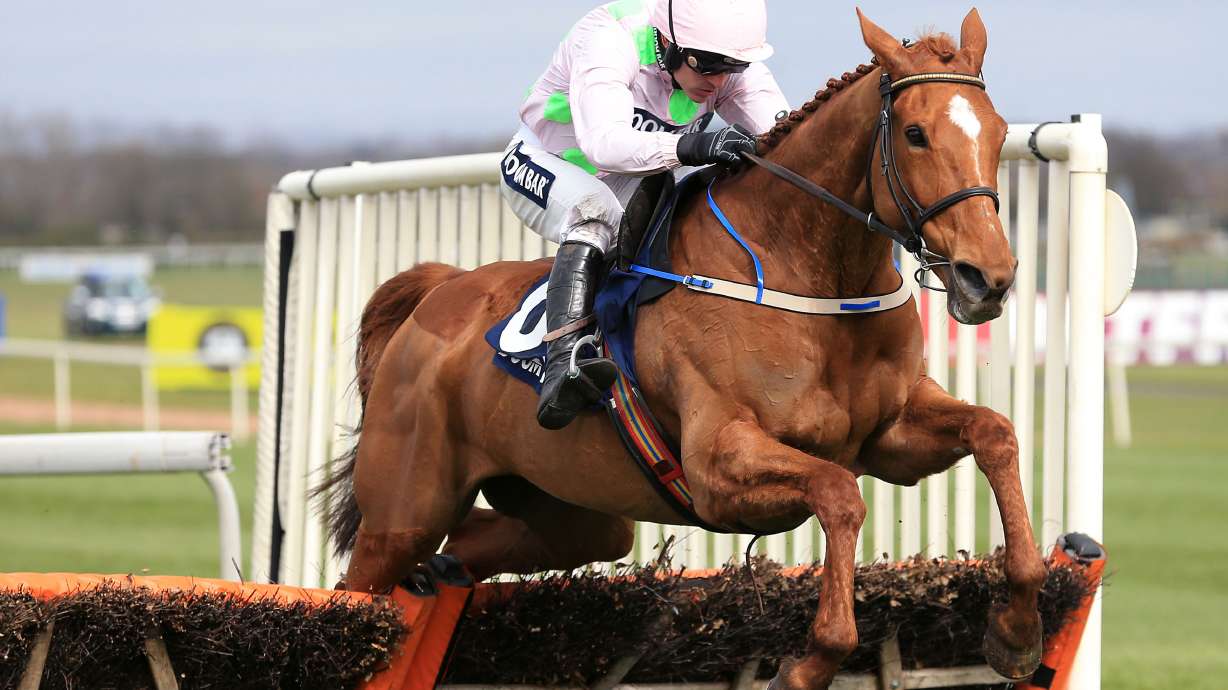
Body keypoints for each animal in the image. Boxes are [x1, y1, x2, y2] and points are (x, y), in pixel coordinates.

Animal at [320, 9, 1044, 689]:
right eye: (916, 134)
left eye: (998, 129)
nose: (988, 277)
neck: (808, 273)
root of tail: (437, 295)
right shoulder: (717, 467)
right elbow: (839, 494)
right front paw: (808, 661)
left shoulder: (890, 439)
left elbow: (995, 433)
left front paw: (1015, 628)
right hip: (403, 512)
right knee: (357, 592)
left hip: (573, 512)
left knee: (474, 544)